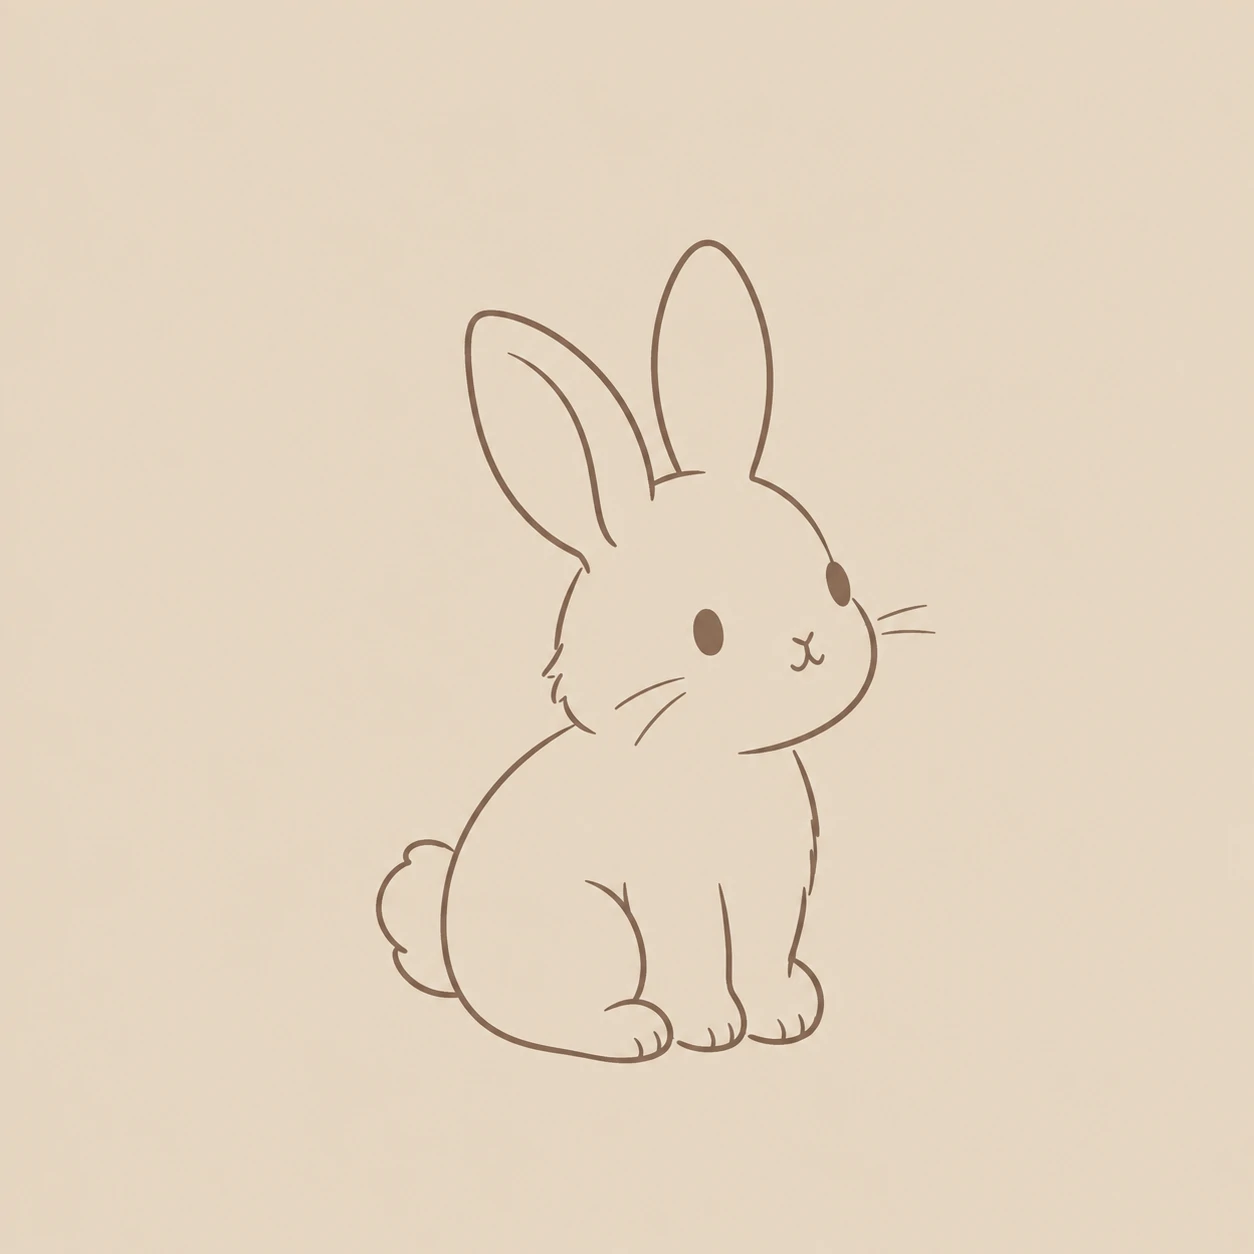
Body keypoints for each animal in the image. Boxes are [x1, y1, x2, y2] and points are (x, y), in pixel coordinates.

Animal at [377, 239, 905, 1062]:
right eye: (706, 630)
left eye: (838, 581)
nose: (808, 646)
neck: (717, 763)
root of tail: (452, 952)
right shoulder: (671, 892)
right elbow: (696, 954)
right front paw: (713, 1028)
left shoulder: (772, 887)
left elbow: (763, 952)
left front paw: (786, 1015)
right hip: (593, 933)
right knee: (545, 1016)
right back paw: (635, 1030)